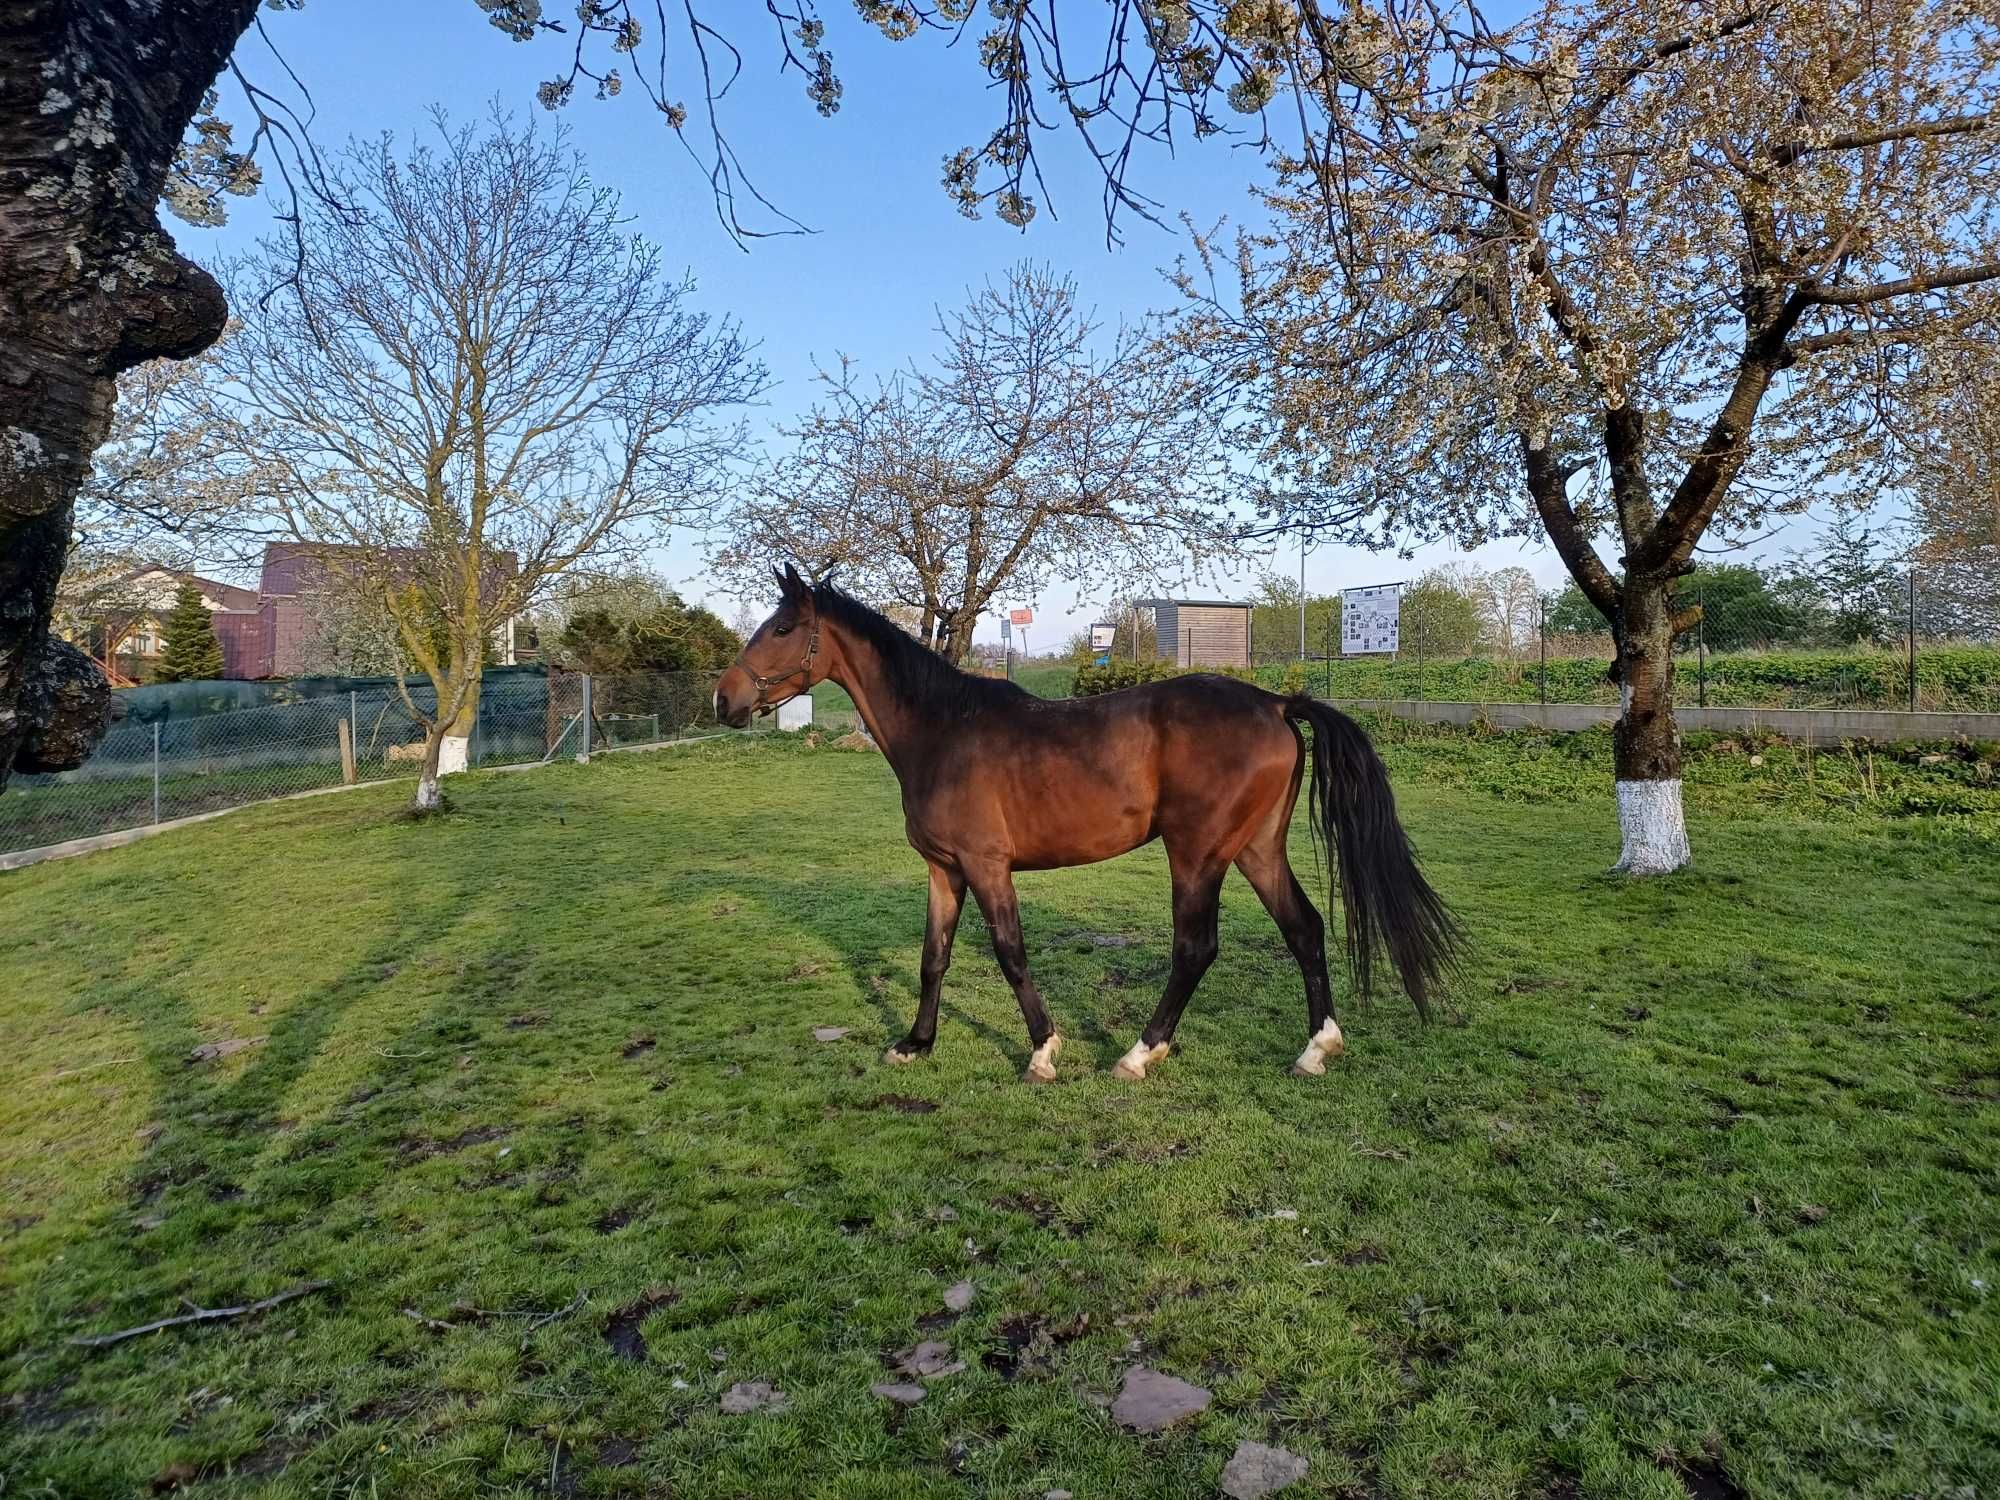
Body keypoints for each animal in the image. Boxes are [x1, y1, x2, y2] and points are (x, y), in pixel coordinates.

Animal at [716, 564, 1456, 1080]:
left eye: (782, 628)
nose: (724, 699)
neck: (943, 730)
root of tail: (1275, 703)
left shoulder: (987, 867)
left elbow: (1010, 952)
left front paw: (1043, 1050)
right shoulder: (943, 870)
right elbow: (934, 957)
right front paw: (916, 1044)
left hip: (1198, 853)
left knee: (1196, 948)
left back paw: (1139, 1053)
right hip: (1256, 849)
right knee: (1303, 928)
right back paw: (1315, 1048)